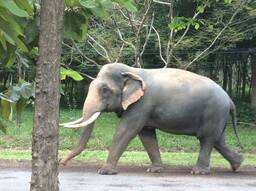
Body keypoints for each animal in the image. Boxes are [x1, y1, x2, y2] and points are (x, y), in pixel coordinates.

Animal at [59, 62, 243, 175]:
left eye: (105, 90)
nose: (62, 163)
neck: (132, 71)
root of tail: (230, 100)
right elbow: (146, 134)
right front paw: (155, 170)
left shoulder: (142, 104)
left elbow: (126, 131)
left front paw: (105, 172)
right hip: (217, 115)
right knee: (218, 139)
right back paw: (238, 164)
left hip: (214, 112)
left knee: (206, 139)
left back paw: (198, 172)